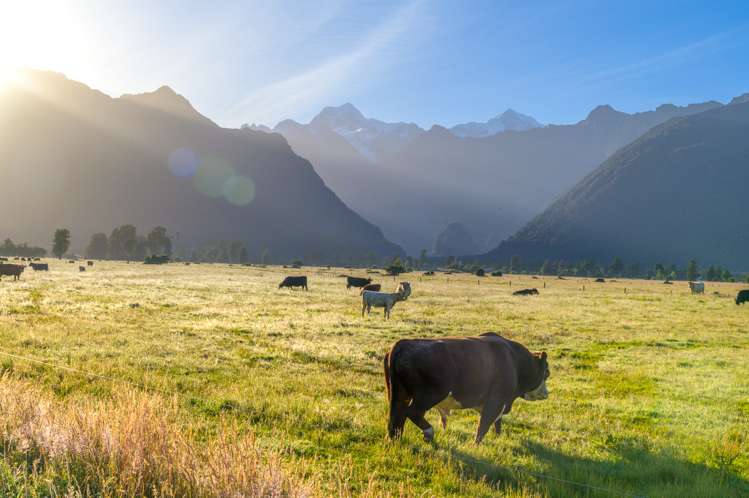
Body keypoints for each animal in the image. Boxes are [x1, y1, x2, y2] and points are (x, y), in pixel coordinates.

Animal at [386, 330, 548, 444]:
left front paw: (497, 438)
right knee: (411, 412)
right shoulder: (496, 401)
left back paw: (395, 439)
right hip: (429, 396)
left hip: (399, 395)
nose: (547, 393)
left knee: (397, 418)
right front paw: (476, 444)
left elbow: (497, 423)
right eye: (547, 373)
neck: (514, 360)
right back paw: (429, 433)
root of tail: (403, 343)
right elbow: (484, 425)